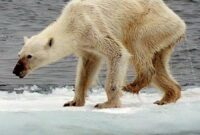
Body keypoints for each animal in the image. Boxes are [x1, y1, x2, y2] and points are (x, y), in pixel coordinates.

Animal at [13, 0, 187, 108]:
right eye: (19, 54)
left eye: (29, 56)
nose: (16, 71)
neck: (71, 23)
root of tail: (180, 24)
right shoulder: (84, 44)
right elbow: (87, 66)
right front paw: (73, 102)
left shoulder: (92, 27)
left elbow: (118, 53)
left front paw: (107, 104)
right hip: (164, 37)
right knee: (158, 64)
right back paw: (168, 96)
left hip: (150, 23)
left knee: (136, 45)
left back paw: (133, 85)